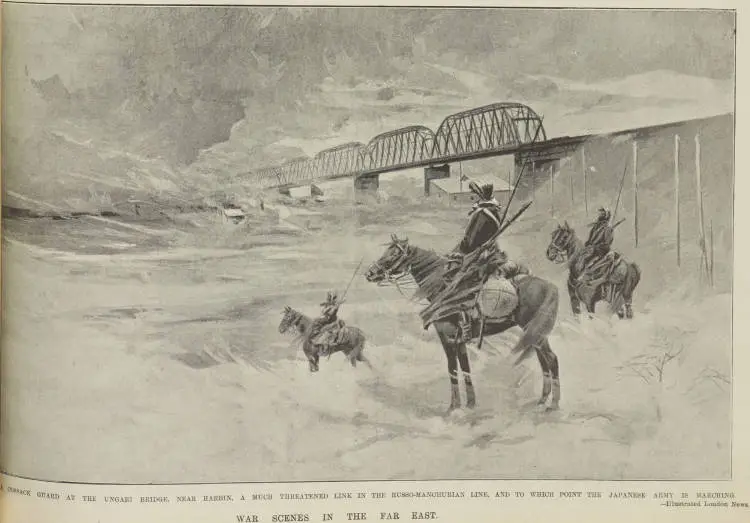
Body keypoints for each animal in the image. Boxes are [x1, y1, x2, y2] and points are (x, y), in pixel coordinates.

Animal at [368, 234, 560, 414]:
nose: (370, 273)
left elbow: (452, 369)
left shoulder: (447, 338)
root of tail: (549, 285)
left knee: (551, 359)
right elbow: (465, 368)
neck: (444, 288)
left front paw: (453, 407)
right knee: (543, 359)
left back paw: (554, 404)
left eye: (394, 254)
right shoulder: (459, 340)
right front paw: (470, 404)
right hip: (535, 332)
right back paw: (542, 400)